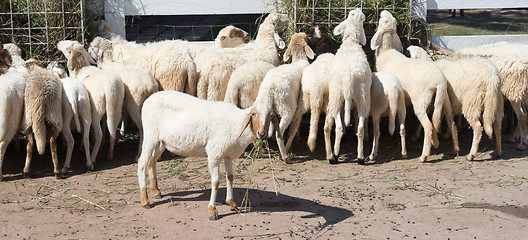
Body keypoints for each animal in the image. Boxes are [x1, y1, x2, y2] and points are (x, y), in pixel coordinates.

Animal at [136, 91, 280, 220]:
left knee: (152, 162)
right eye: (254, 114)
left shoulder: (227, 155)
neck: (235, 123)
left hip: (161, 141)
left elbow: (230, 178)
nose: (262, 133)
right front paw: (212, 211)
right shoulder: (214, 154)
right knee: (142, 163)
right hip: (150, 136)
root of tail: (149, 99)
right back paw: (145, 201)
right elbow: (215, 182)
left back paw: (156, 191)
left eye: (270, 116)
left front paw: (232, 203)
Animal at [252, 31, 314, 162]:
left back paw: (259, 152)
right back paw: (285, 156)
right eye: (306, 38)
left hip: (262, 105)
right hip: (287, 108)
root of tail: (270, 90)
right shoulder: (298, 106)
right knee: (278, 133)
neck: (299, 59)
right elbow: (294, 127)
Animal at [372, 10, 458, 162]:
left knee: (429, 126)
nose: (384, 11)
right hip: (444, 100)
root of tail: (439, 81)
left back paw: (424, 156)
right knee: (451, 123)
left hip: (420, 100)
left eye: (383, 20)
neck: (386, 51)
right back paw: (455, 150)